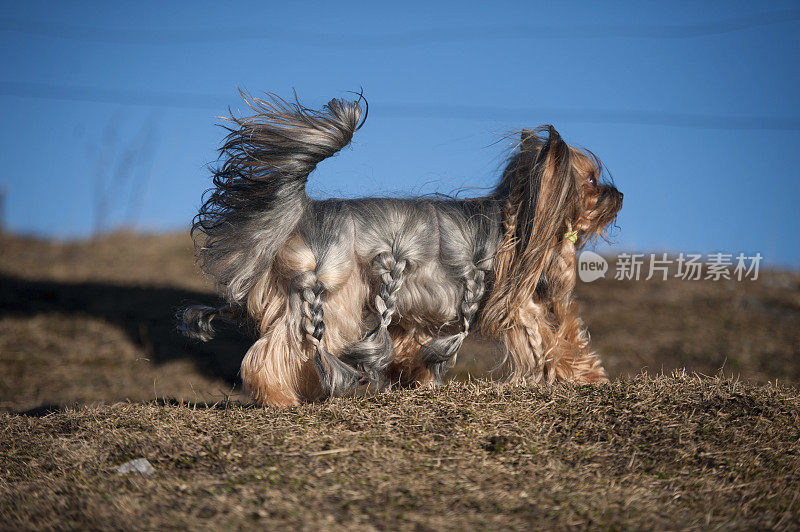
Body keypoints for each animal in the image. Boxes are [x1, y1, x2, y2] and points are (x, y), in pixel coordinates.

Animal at [180, 92, 620, 408]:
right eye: (592, 180)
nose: (618, 196)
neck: (521, 214)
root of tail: (302, 212)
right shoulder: (516, 304)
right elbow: (553, 339)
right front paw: (586, 376)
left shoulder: (415, 308)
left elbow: (411, 347)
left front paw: (414, 379)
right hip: (332, 296)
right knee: (277, 350)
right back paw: (279, 398)